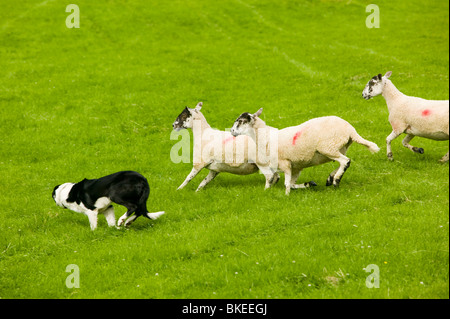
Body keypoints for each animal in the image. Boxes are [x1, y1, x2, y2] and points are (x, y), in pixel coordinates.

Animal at [229, 109, 380, 196]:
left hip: (328, 147)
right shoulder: (296, 167)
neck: (265, 137)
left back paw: (336, 180)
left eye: (241, 121)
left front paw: (286, 196)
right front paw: (308, 184)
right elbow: (292, 184)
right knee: (344, 161)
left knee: (345, 161)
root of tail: (350, 130)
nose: (231, 131)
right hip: (338, 148)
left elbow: (287, 183)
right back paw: (330, 178)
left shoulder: (285, 163)